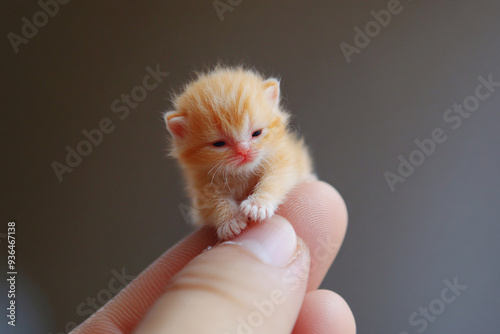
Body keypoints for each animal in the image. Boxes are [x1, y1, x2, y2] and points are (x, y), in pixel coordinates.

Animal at [164, 66, 312, 239]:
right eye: (219, 144)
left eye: (257, 133)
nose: (244, 150)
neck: (241, 174)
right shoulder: (202, 188)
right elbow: (213, 203)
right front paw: (230, 221)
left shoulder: (283, 160)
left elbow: (276, 180)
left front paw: (257, 204)